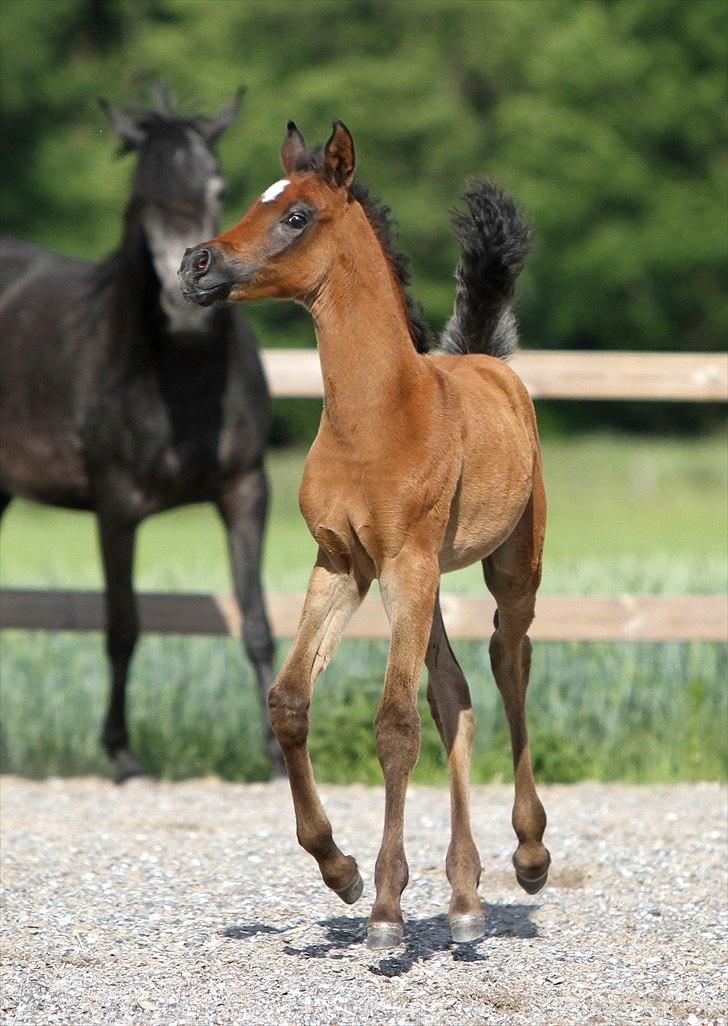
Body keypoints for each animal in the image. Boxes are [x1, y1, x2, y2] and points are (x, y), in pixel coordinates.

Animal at [0, 92, 282, 775]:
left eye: (217, 187)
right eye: (142, 198)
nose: (188, 301)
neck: (182, 376)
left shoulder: (245, 491)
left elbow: (256, 620)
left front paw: (277, 751)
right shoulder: (116, 507)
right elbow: (123, 626)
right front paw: (121, 751)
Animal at [179, 122, 549, 952]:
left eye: (296, 215)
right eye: (253, 201)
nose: (196, 264)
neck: (377, 416)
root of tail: (486, 359)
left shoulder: (403, 563)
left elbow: (394, 723)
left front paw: (384, 910)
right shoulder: (344, 563)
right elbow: (289, 701)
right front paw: (339, 869)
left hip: (510, 564)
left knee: (508, 666)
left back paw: (530, 854)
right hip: (426, 582)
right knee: (456, 696)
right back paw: (465, 900)